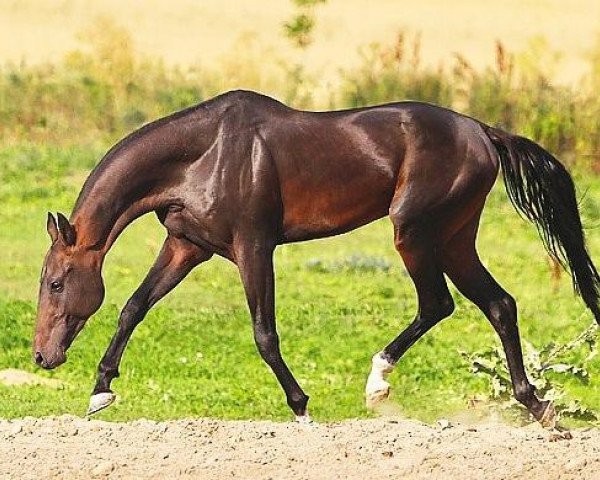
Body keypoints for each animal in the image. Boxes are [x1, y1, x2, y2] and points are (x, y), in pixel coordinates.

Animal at [34, 89, 600, 424]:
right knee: (499, 305)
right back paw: (536, 405)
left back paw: (377, 385)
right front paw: (100, 392)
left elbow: (264, 334)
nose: (42, 357)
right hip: (455, 239)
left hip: (416, 233)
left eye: (57, 283)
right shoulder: (186, 247)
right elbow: (132, 308)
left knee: (438, 303)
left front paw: (301, 407)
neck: (203, 154)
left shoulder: (253, 248)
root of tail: (483, 131)